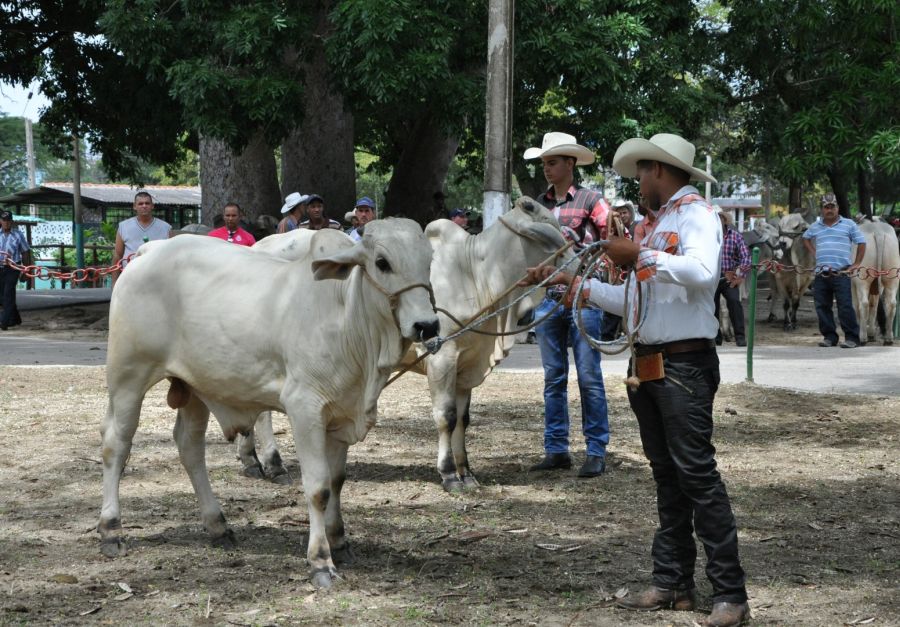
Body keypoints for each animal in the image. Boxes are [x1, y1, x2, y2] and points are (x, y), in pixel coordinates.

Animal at [97, 220, 436, 588]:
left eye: (429, 261)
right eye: (382, 262)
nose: (427, 325)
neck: (345, 314)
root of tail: (150, 251)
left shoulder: (341, 414)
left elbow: (337, 481)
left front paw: (340, 542)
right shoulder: (305, 408)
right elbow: (318, 487)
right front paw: (320, 560)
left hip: (195, 387)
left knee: (189, 447)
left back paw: (218, 526)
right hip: (128, 375)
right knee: (116, 444)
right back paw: (111, 529)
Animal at [852, 220, 900, 348]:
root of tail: (878, 231)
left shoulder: (852, 282)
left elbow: (856, 305)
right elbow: (874, 304)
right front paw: (872, 334)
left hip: (862, 276)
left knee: (863, 303)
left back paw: (862, 337)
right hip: (892, 274)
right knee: (891, 303)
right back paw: (888, 338)